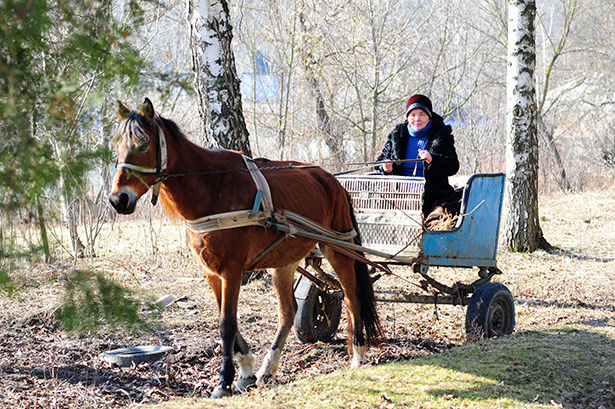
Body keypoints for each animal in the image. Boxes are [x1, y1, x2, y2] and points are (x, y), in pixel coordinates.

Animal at [109, 97, 380, 396]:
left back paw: (358, 354)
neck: (212, 188)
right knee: (288, 312)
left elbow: (226, 324)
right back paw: (268, 368)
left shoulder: (232, 270)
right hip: (284, 262)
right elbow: (228, 320)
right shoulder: (212, 273)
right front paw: (247, 371)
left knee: (352, 297)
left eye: (142, 144)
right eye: (117, 145)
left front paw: (224, 381)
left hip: (338, 249)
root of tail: (333, 181)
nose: (118, 200)